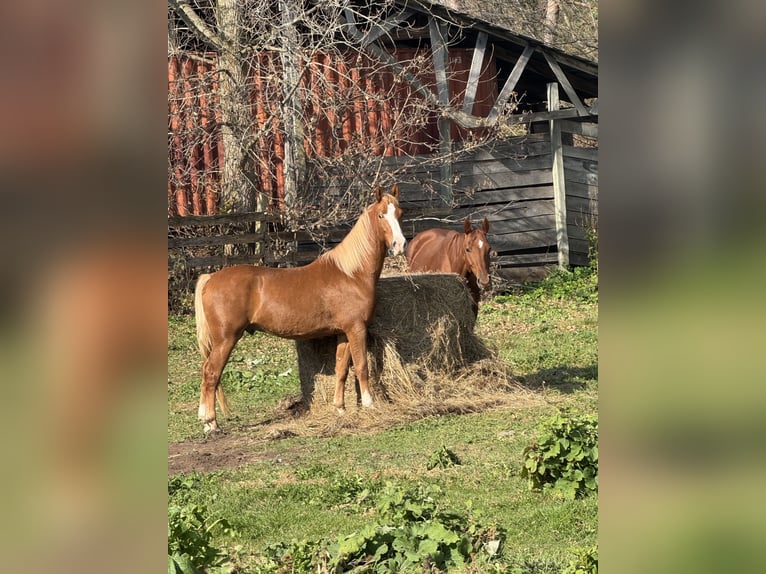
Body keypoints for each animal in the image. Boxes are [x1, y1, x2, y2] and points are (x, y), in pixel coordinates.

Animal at [195, 187, 404, 434]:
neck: (351, 274)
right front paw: (371, 406)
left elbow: (341, 368)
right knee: (211, 373)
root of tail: (211, 278)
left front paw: (340, 408)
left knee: (206, 372)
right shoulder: (357, 329)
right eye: (381, 215)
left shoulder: (344, 332)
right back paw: (211, 423)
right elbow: (362, 366)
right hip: (226, 339)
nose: (400, 245)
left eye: (399, 213)